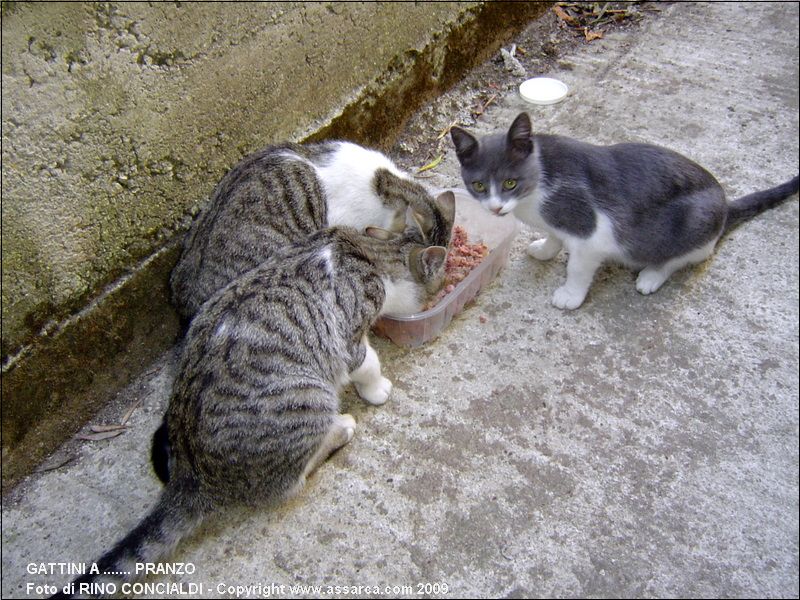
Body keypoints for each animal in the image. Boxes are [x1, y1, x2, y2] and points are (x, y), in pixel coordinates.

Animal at [53, 223, 446, 596]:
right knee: (290, 480)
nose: (438, 294)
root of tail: (192, 474)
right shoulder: (350, 337)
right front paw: (377, 388)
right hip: (309, 397)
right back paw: (340, 428)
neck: (368, 252)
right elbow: (367, 362)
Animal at [454, 111, 796, 310]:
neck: (538, 182)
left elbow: (578, 265)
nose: (496, 207)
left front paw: (570, 295)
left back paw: (652, 275)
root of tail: (725, 204)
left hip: (694, 219)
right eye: (479, 185)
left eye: (510, 182)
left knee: (688, 254)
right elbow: (556, 236)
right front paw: (545, 248)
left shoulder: (592, 230)